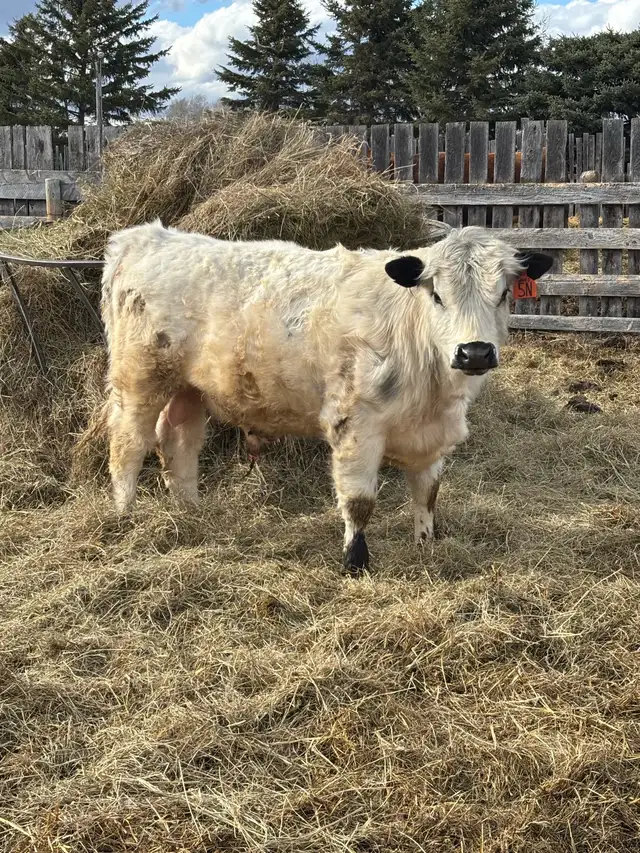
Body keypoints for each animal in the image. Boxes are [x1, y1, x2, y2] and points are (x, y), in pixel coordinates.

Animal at [100, 222, 552, 574]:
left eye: (504, 294)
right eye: (437, 294)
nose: (474, 352)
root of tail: (144, 237)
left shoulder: (431, 435)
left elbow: (427, 494)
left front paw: (426, 547)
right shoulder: (355, 423)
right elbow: (359, 501)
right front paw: (355, 562)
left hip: (189, 389)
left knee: (179, 443)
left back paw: (190, 512)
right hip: (139, 379)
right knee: (128, 445)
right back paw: (124, 516)